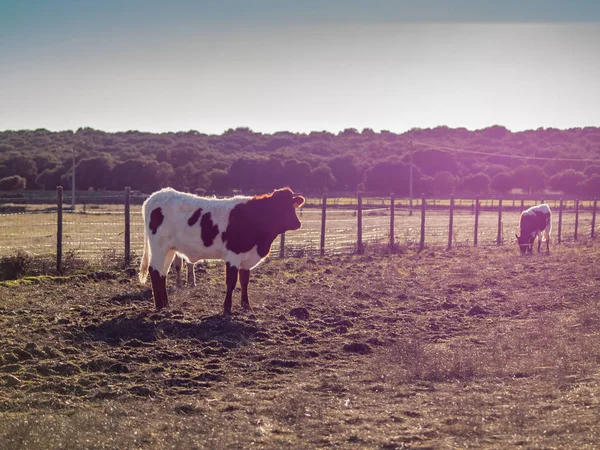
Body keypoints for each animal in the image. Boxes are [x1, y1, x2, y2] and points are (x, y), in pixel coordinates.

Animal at [139, 186, 304, 312]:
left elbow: (244, 281)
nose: (297, 223)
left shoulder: (247, 258)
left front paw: (246, 306)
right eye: (278, 207)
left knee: (163, 273)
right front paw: (227, 308)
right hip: (159, 247)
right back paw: (159, 306)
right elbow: (231, 282)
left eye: (292, 205)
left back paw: (166, 304)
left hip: (169, 250)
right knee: (154, 271)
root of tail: (157, 195)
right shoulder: (233, 255)